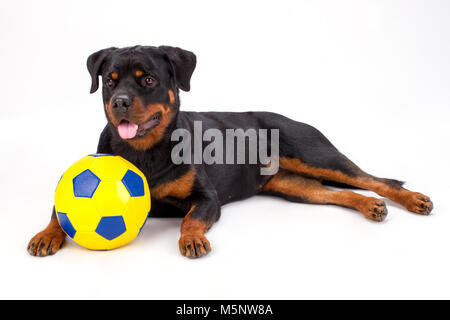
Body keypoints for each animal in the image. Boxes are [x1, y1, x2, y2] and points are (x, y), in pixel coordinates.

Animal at [27, 45, 432, 258]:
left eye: (148, 79)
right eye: (110, 82)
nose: (120, 102)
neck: (146, 152)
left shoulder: (207, 197)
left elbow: (191, 218)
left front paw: (192, 238)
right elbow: (59, 211)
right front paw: (46, 234)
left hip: (312, 151)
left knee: (372, 179)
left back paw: (413, 200)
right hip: (293, 185)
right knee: (339, 193)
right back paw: (370, 207)